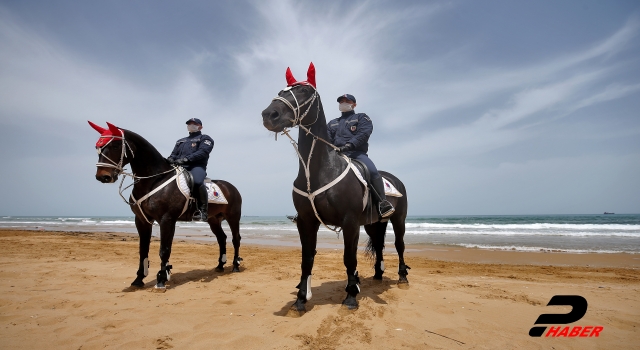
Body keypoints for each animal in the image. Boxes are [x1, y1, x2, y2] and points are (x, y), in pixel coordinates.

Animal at [87, 121, 242, 292]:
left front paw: (161, 279)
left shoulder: (167, 220)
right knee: (222, 238)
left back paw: (235, 266)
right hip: (213, 220)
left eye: (115, 146)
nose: (103, 176)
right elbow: (143, 250)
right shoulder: (141, 220)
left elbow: (164, 250)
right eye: (98, 147)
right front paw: (139, 279)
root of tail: (231, 187)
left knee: (235, 239)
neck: (154, 180)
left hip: (233, 217)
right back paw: (220, 265)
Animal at [260, 63, 410, 312]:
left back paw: (402, 278)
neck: (318, 171)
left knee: (399, 245)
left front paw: (351, 296)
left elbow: (349, 258)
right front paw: (301, 299)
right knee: (379, 246)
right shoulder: (307, 221)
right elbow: (307, 258)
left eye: (304, 91)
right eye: (281, 91)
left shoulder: (350, 222)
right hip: (373, 224)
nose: (269, 115)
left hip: (398, 219)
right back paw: (377, 276)